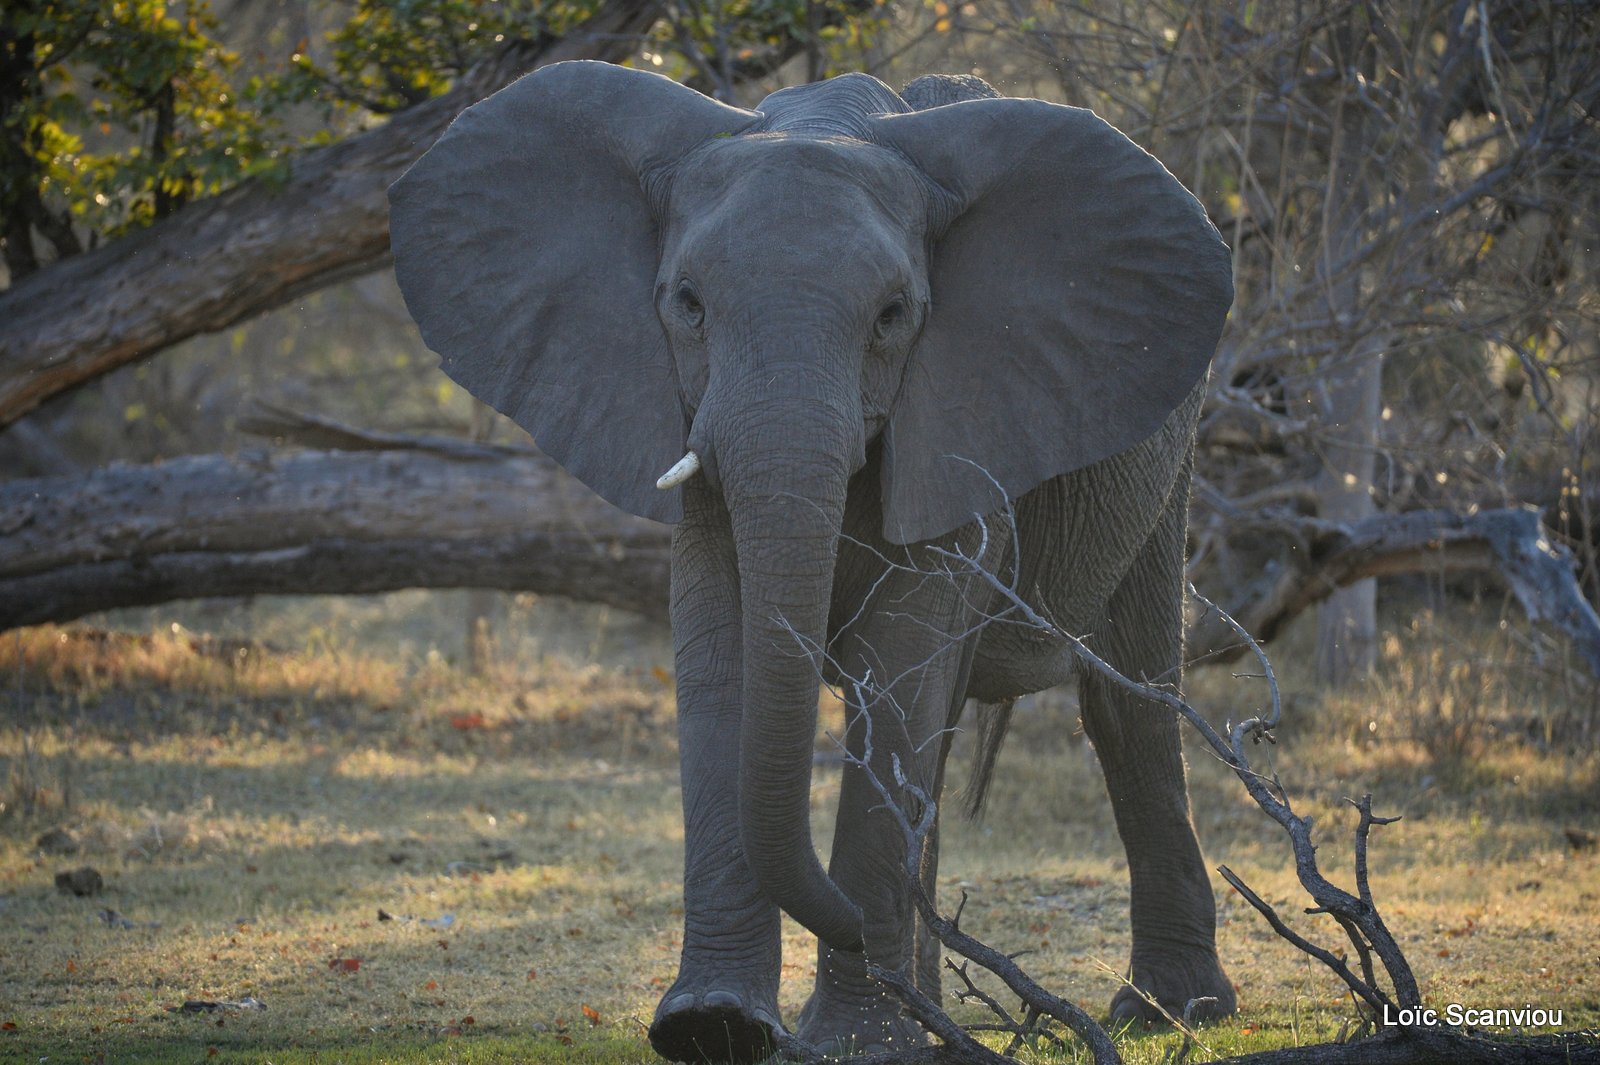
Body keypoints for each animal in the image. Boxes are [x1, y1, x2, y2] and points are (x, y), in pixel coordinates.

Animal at [390, 59, 1235, 1061]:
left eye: (892, 317)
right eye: (687, 304)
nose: (855, 927)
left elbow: (899, 653)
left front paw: (861, 1037)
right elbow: (723, 655)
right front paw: (716, 1026)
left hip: (1170, 449)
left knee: (1128, 699)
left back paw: (1163, 1011)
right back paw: (935, 1006)